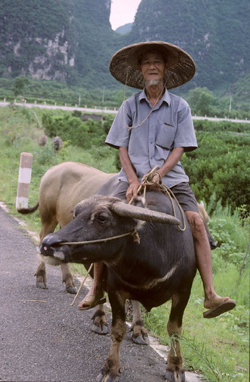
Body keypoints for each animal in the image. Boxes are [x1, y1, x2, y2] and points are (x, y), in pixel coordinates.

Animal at [40, 194, 196, 382]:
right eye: (75, 214)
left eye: (102, 218)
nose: (47, 244)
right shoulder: (115, 290)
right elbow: (118, 329)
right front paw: (110, 368)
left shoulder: (184, 291)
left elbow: (174, 330)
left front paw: (175, 367)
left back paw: (138, 329)